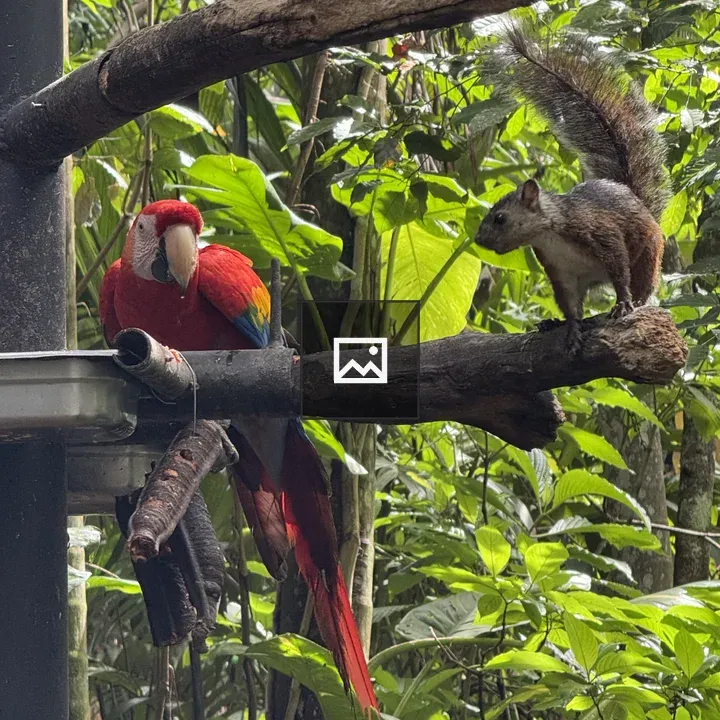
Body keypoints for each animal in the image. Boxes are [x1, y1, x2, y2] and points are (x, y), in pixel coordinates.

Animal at [475, 24, 669, 353]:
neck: (551, 233)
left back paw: (638, 303)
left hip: (648, 253)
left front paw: (622, 304)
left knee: (642, 283)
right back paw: (551, 323)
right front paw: (572, 330)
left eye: (500, 218)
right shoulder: (560, 271)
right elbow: (571, 306)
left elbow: (620, 273)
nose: (477, 240)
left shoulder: (602, 234)